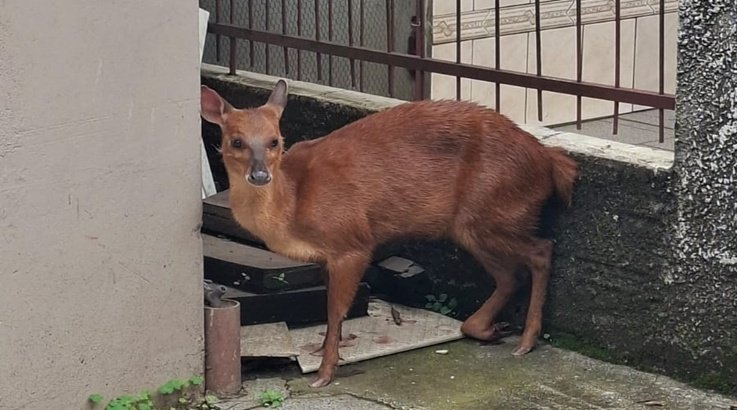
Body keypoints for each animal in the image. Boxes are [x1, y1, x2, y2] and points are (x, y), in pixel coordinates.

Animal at [200, 79, 577, 388]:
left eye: (275, 140)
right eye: (236, 141)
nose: (260, 175)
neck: (293, 205)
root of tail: (550, 160)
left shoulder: (351, 241)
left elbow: (335, 310)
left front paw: (325, 373)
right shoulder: (324, 256)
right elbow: (329, 308)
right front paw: (322, 354)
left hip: (493, 208)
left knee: (541, 251)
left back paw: (526, 341)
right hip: (471, 224)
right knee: (510, 274)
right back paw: (490, 329)